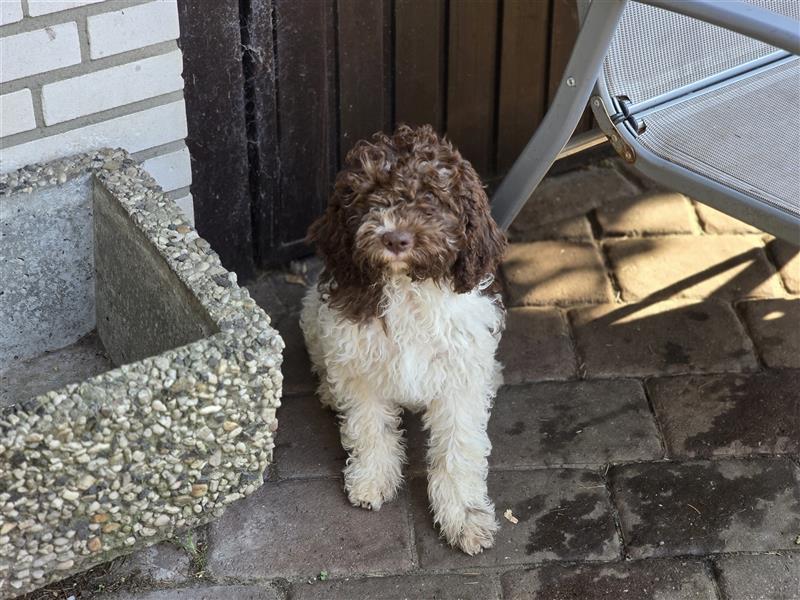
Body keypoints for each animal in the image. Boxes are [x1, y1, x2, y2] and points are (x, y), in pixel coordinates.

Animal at [300, 124, 506, 556]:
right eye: (369, 195)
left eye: (431, 196)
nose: (395, 238)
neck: (408, 288)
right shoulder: (358, 361)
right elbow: (369, 426)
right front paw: (372, 478)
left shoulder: (460, 375)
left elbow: (459, 448)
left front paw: (465, 515)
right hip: (313, 311)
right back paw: (327, 390)